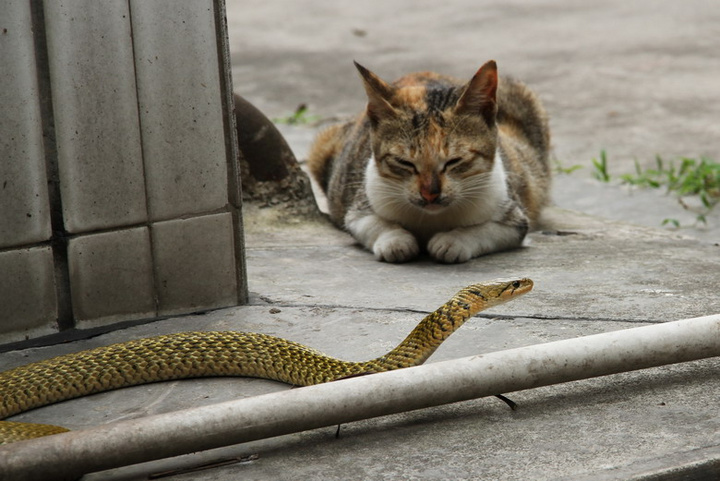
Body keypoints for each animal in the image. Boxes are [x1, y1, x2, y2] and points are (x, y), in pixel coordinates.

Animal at [306, 60, 552, 264]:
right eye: (404, 162)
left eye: (454, 161)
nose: (430, 193)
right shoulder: (359, 206)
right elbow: (369, 223)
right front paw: (395, 240)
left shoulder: (514, 218)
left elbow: (487, 230)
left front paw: (454, 241)